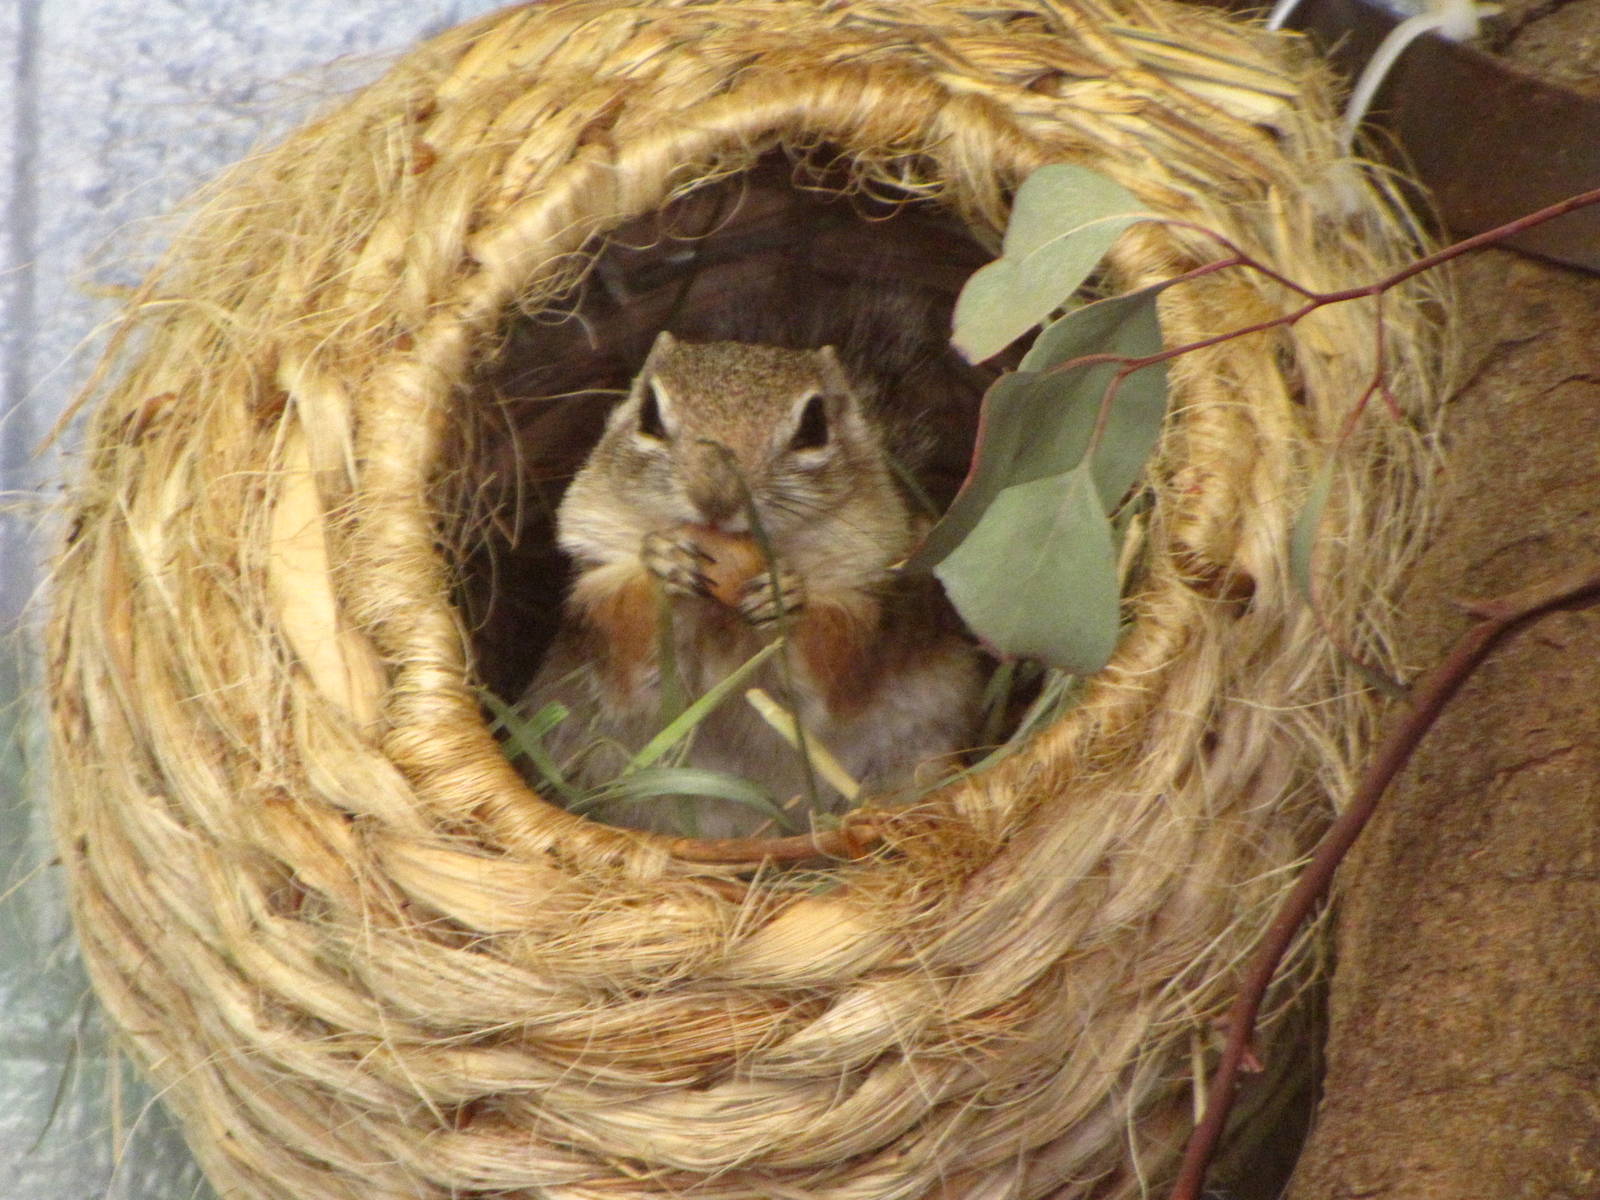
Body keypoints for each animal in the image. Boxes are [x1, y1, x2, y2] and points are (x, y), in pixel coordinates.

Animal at [518, 332, 983, 838]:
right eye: (649, 415)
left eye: (814, 426)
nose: (716, 497)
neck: (719, 617)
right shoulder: (599, 587)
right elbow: (629, 658)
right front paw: (662, 561)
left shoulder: (868, 604)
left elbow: (833, 668)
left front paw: (788, 596)